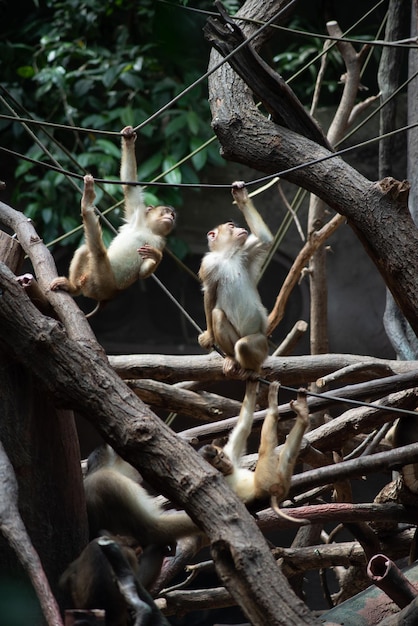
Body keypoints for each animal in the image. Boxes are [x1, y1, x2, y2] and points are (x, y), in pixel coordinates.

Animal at [51, 125, 176, 308]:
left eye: (172, 214)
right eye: (166, 211)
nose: (171, 217)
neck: (148, 229)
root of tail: (105, 296)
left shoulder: (160, 242)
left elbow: (143, 273)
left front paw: (155, 257)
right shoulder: (136, 215)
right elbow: (130, 185)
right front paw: (129, 139)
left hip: (103, 282)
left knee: (97, 252)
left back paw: (86, 203)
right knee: (85, 250)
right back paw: (72, 287)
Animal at [198, 180, 272, 376]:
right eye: (231, 227)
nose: (241, 228)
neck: (228, 255)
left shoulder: (246, 252)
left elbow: (266, 240)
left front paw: (241, 196)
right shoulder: (208, 265)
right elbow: (210, 292)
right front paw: (209, 336)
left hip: (261, 343)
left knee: (245, 345)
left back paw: (252, 369)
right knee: (217, 315)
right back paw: (232, 359)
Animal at [199, 378, 310, 516]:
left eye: (222, 456)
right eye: (219, 464)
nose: (227, 464)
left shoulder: (230, 454)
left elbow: (244, 426)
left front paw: (251, 384)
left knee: (287, 457)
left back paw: (302, 414)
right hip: (265, 485)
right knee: (265, 451)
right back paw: (273, 407)